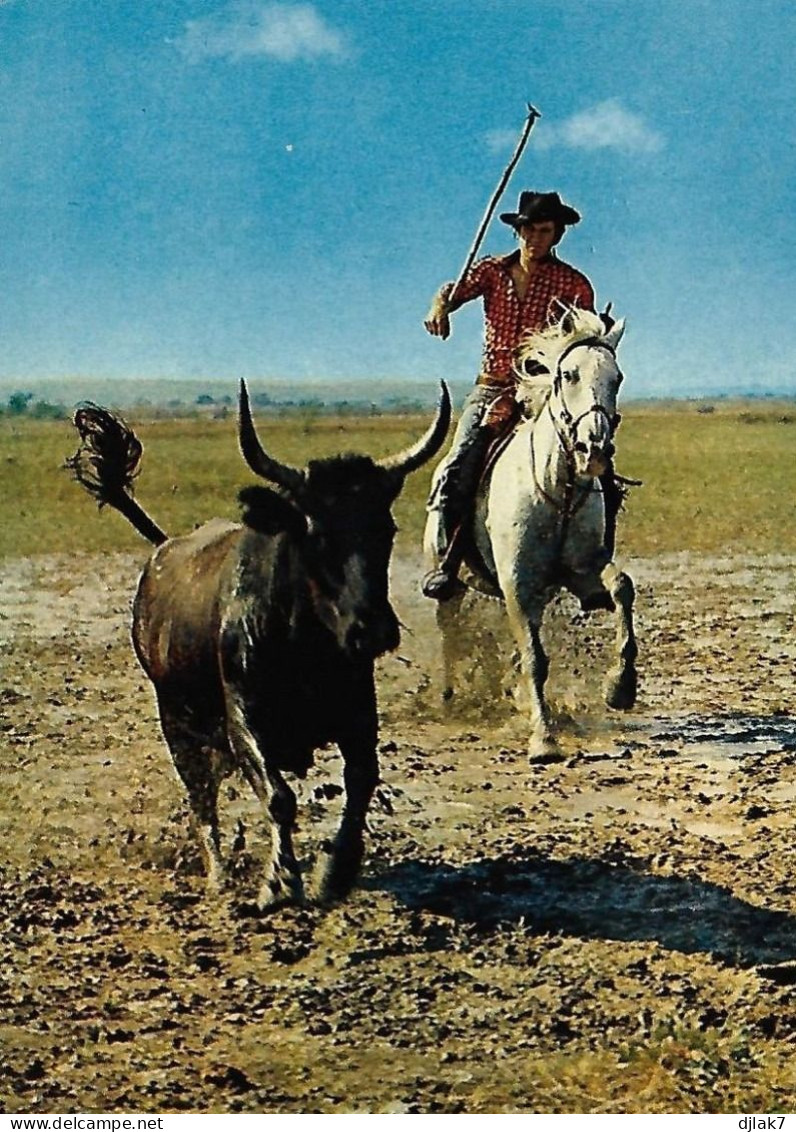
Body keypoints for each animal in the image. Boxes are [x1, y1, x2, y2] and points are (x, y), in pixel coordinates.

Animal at [69, 382, 450, 910]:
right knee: (201, 800)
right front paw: (278, 881)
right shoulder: (243, 721)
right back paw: (218, 876)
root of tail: (162, 551)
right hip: (177, 723)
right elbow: (278, 797)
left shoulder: (358, 714)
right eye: (315, 534)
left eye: (384, 529)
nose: (372, 630)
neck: (304, 644)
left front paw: (335, 872)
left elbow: (361, 782)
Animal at [425, 305, 638, 756]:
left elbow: (621, 587)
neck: (556, 486)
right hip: (450, 583)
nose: (594, 449)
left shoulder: (580, 572)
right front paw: (543, 738)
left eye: (617, 377)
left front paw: (620, 687)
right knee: (450, 633)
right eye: (568, 374)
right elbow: (535, 658)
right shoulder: (516, 582)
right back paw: (448, 698)